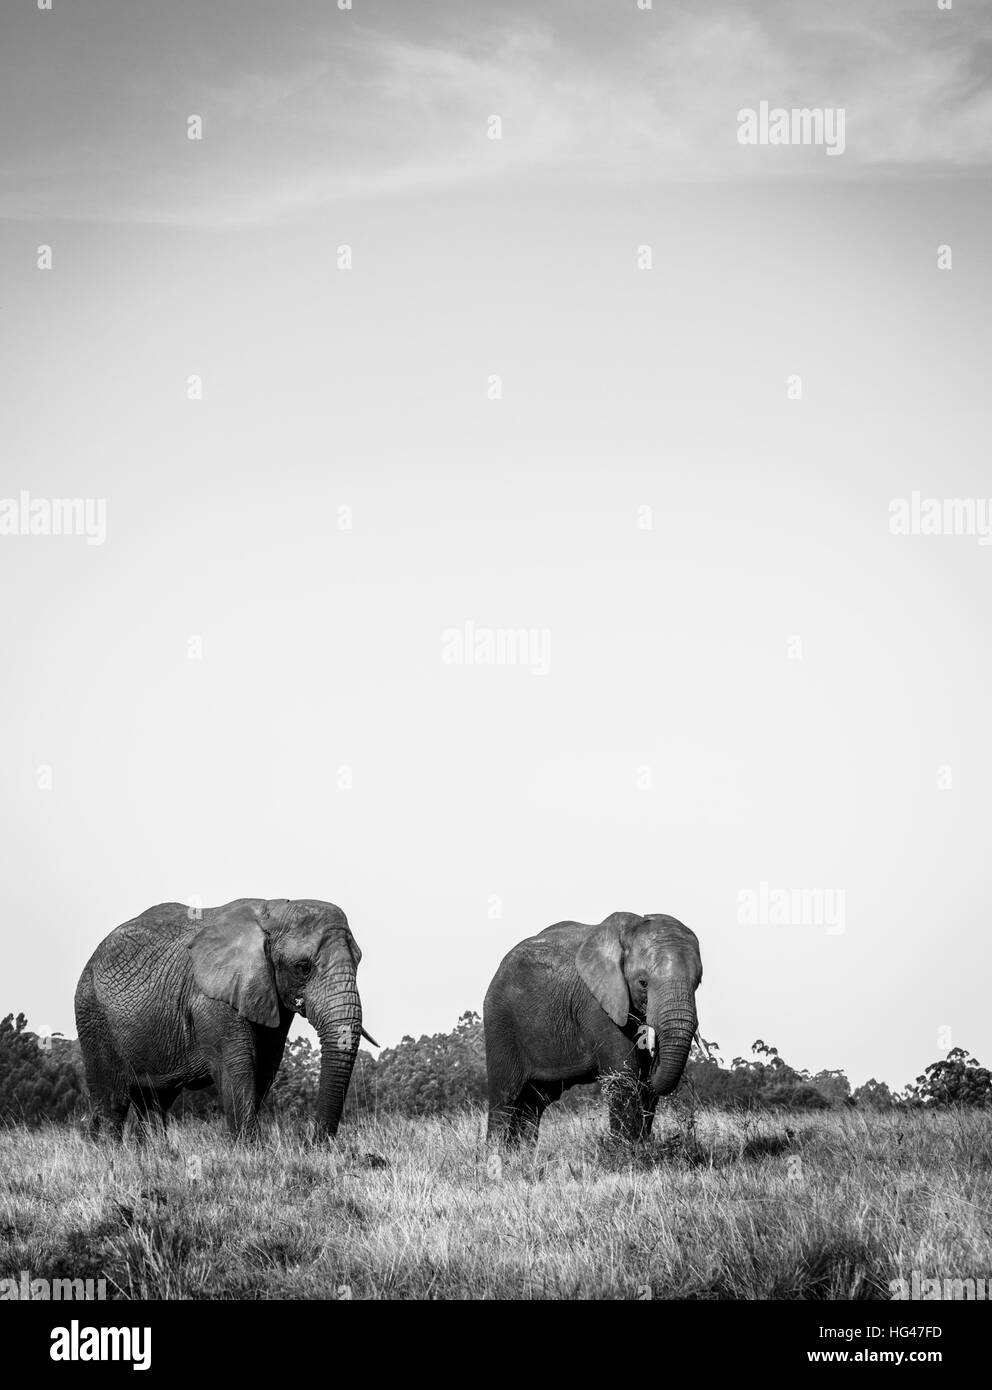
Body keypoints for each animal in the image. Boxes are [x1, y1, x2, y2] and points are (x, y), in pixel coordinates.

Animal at [74, 900, 375, 1139]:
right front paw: (250, 1152)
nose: (312, 1143)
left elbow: (264, 1067)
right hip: (92, 1017)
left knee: (154, 1103)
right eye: (303, 967)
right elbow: (236, 1065)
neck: (273, 911)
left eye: (359, 961)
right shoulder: (211, 998)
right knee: (112, 1101)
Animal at [483, 906, 700, 1145]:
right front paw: (627, 1151)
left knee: (533, 1103)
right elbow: (624, 1075)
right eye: (643, 983)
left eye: (698, 982)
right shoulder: (597, 1004)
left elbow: (644, 1084)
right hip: (500, 1021)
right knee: (506, 1097)